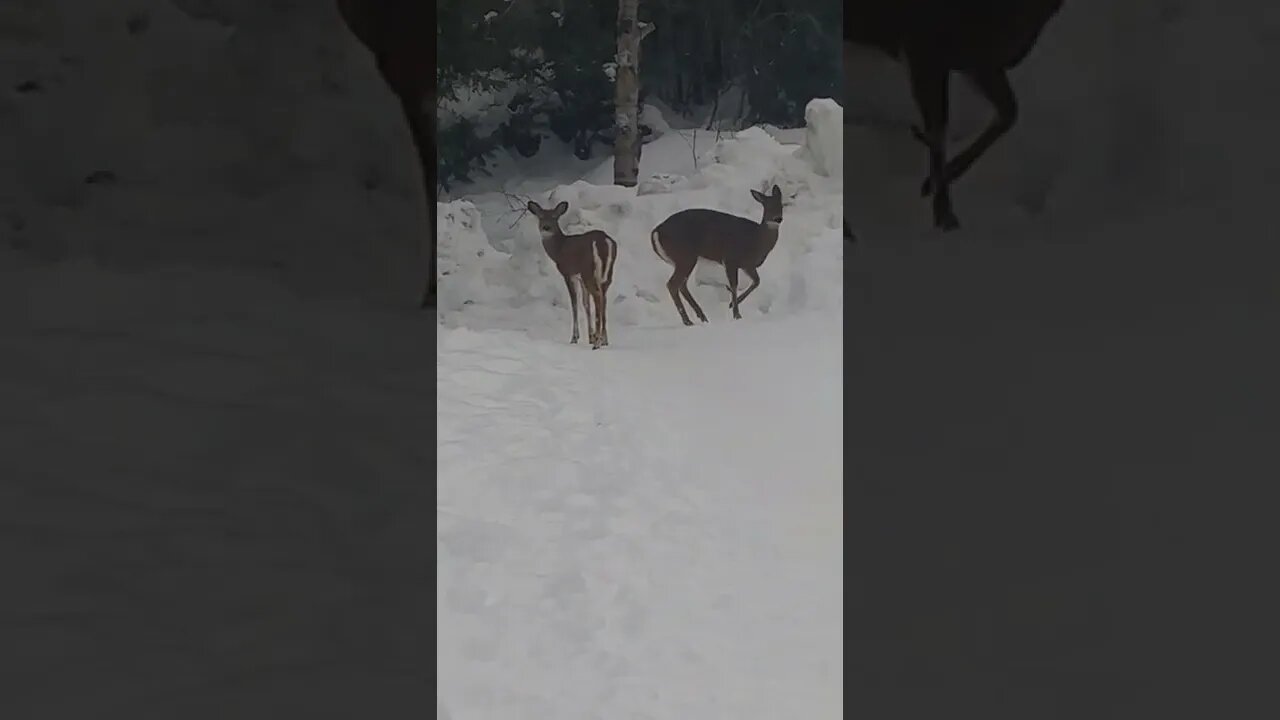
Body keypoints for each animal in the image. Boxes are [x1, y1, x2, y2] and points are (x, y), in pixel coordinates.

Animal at [522, 199, 616, 348]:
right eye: (541, 217)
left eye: (554, 217)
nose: (546, 227)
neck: (558, 249)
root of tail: (604, 241)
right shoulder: (579, 277)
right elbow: (585, 304)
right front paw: (591, 337)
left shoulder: (568, 273)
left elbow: (574, 303)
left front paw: (575, 338)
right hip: (606, 274)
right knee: (603, 298)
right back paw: (604, 340)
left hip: (588, 270)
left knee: (598, 296)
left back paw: (597, 343)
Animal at [650, 183, 778, 324]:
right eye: (767, 206)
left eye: (780, 203)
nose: (778, 218)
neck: (757, 239)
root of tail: (656, 231)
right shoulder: (730, 259)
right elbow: (734, 285)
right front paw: (736, 314)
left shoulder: (747, 265)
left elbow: (757, 281)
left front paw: (732, 306)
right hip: (684, 256)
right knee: (673, 284)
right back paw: (688, 321)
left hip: (683, 259)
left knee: (682, 285)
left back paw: (702, 317)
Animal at [849, 0, 1070, 229]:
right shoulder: (925, 48)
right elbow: (938, 133)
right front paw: (943, 213)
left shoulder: (979, 61)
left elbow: (1009, 113)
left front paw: (940, 182)